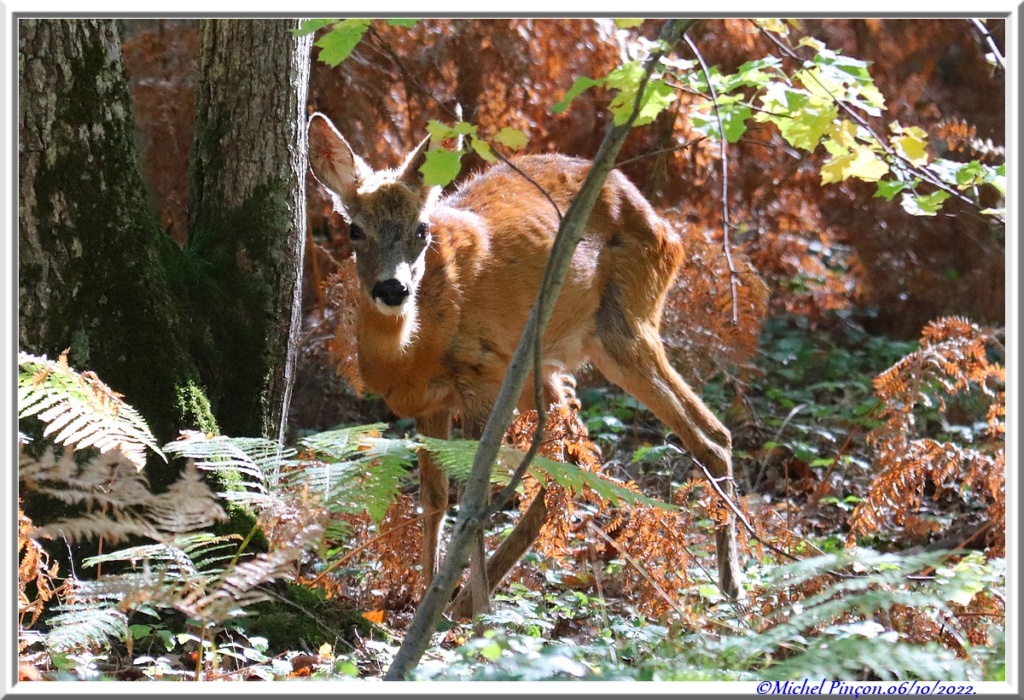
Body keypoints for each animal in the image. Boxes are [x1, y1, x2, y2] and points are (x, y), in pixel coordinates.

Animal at [303, 113, 745, 618]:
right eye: (355, 230)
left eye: (421, 229)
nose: (393, 289)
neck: (410, 354)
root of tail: (667, 228)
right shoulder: (429, 404)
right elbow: (434, 498)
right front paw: (425, 602)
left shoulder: (482, 379)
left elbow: (474, 494)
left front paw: (462, 612)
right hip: (547, 366)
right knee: (577, 463)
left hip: (625, 322)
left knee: (708, 435)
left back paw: (731, 584)